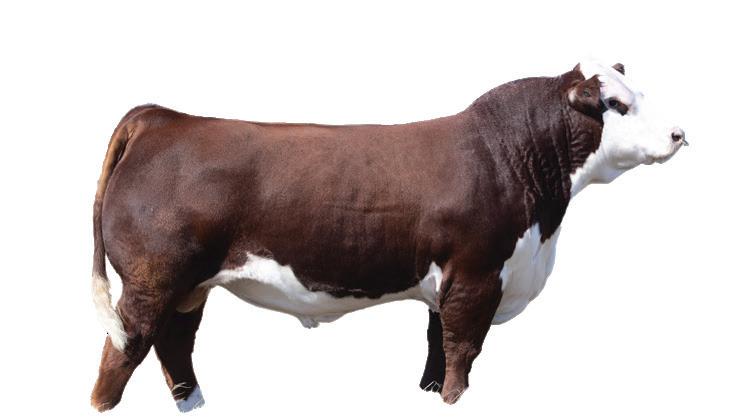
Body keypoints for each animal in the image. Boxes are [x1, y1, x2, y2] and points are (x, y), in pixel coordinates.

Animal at [90, 61, 687, 412]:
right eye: (617, 106)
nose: (679, 133)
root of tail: (164, 117)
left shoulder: (450, 283)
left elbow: (436, 346)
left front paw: (429, 395)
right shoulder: (477, 275)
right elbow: (462, 349)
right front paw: (455, 402)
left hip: (188, 286)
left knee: (175, 342)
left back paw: (194, 403)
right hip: (151, 280)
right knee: (125, 350)